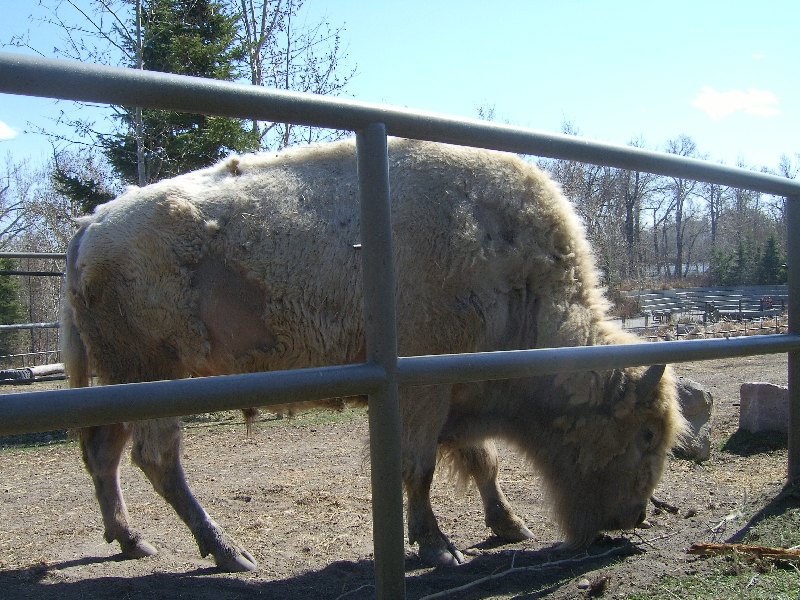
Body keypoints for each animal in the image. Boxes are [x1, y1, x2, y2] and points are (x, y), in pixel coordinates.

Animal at [62, 137, 684, 572]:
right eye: (645, 433)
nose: (632, 516)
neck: (514, 271)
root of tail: (90, 223)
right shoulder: (424, 387)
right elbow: (419, 467)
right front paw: (438, 549)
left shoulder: (458, 394)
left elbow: (481, 460)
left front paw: (510, 526)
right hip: (153, 375)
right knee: (156, 457)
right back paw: (227, 552)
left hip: (121, 380)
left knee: (103, 450)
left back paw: (132, 540)